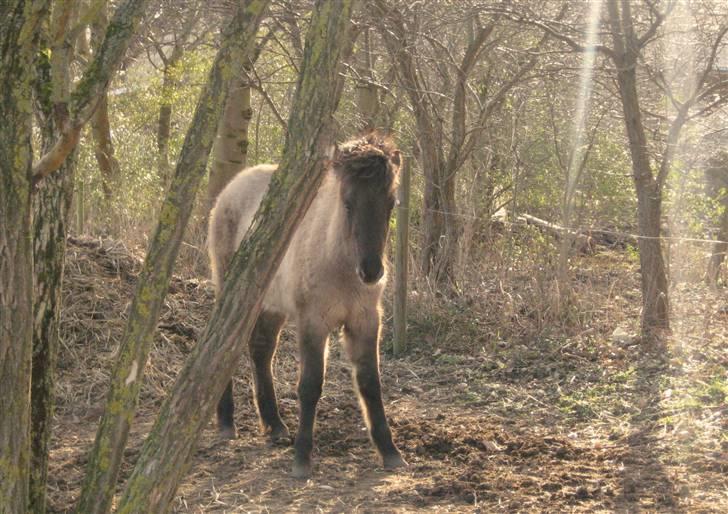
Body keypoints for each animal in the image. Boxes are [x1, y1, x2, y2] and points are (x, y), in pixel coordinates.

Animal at [208, 131, 406, 476]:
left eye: (390, 204)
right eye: (347, 203)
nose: (371, 271)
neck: (340, 262)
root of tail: (229, 189)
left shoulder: (366, 320)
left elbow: (370, 383)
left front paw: (389, 451)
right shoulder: (313, 322)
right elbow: (310, 386)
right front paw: (302, 458)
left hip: (270, 307)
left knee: (261, 352)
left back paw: (274, 425)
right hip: (232, 293)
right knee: (225, 350)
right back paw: (226, 422)